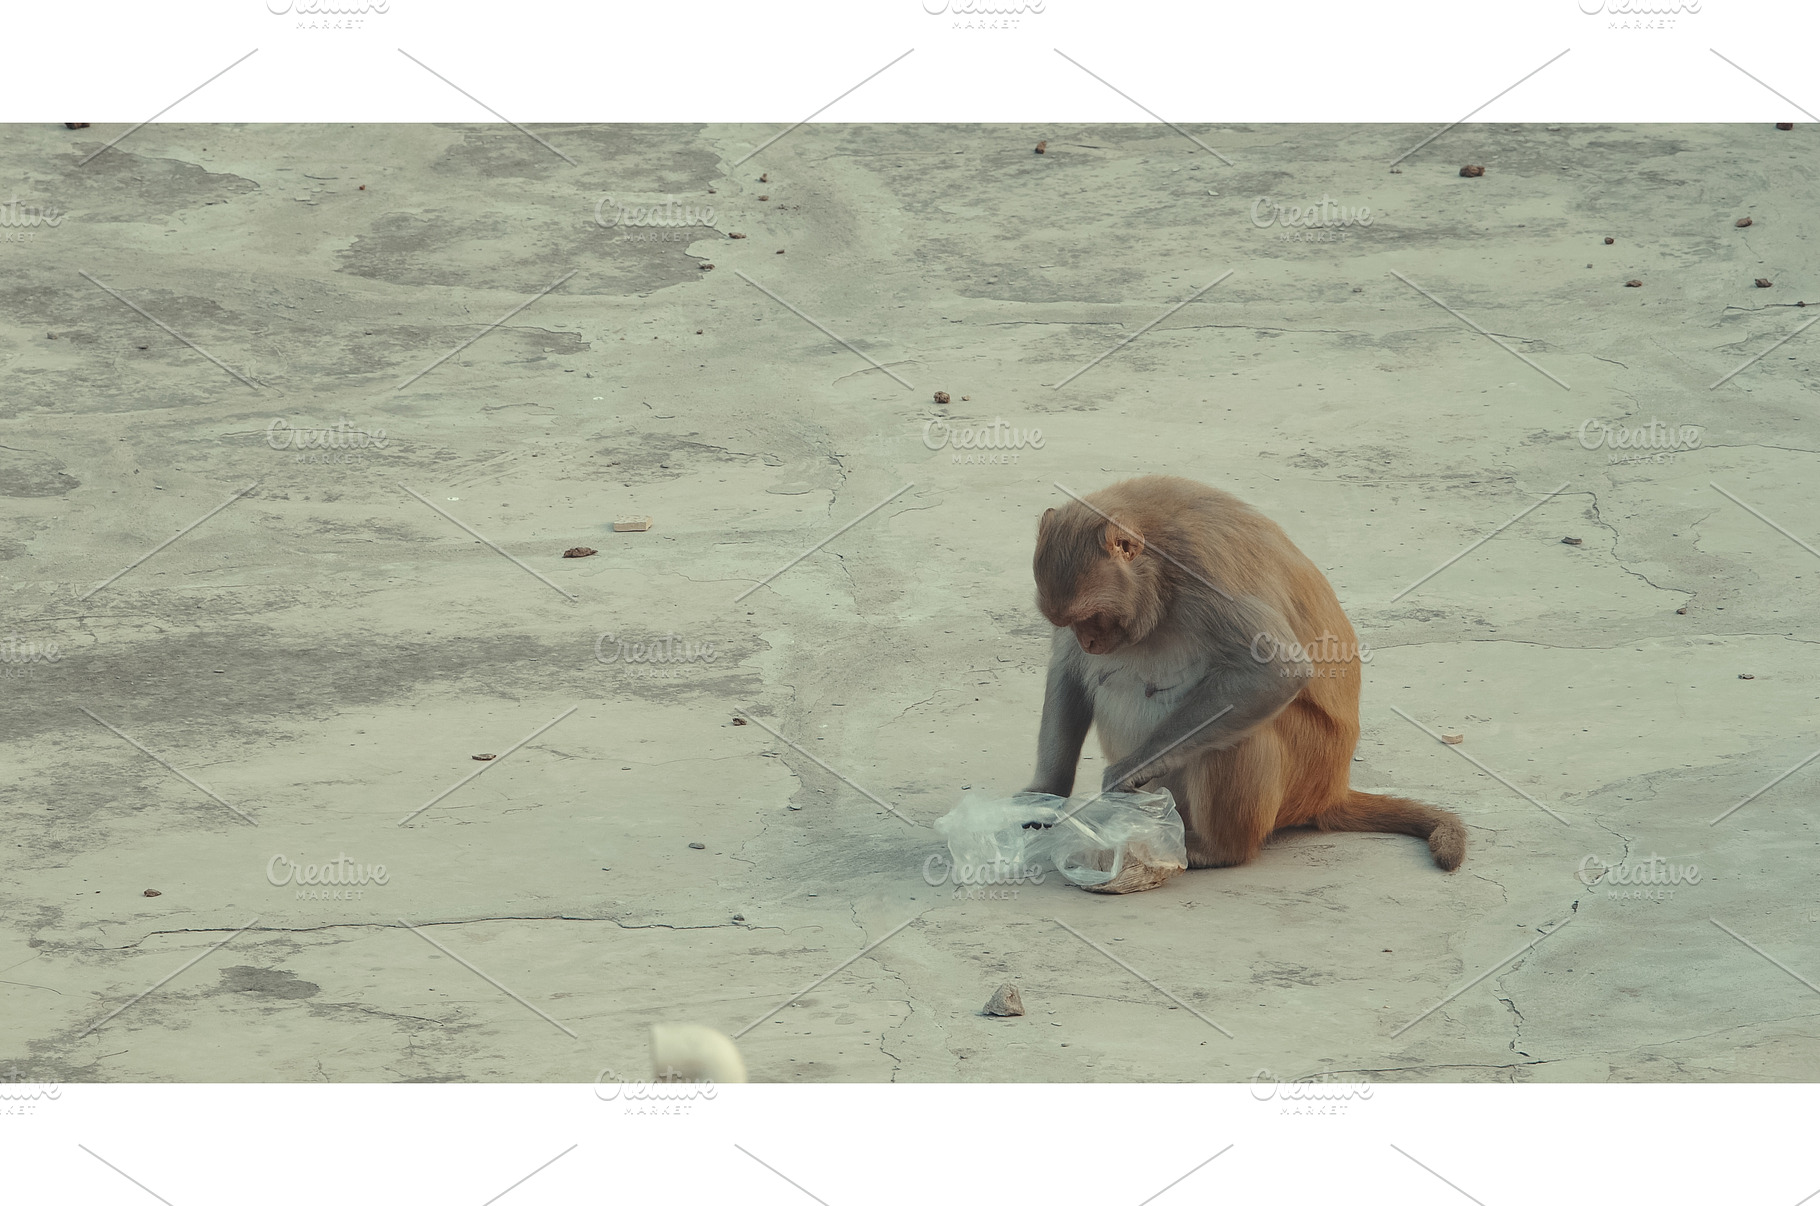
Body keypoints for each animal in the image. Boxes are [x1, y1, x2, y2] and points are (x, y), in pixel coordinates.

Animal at [1024, 475, 1465, 872]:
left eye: (1093, 618)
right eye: (1069, 623)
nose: (1087, 642)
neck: (1158, 566)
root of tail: (1331, 790)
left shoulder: (1204, 571)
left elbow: (1276, 671)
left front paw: (1130, 770)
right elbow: (1067, 674)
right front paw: (1044, 796)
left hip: (1304, 772)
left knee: (1239, 733)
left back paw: (1218, 849)